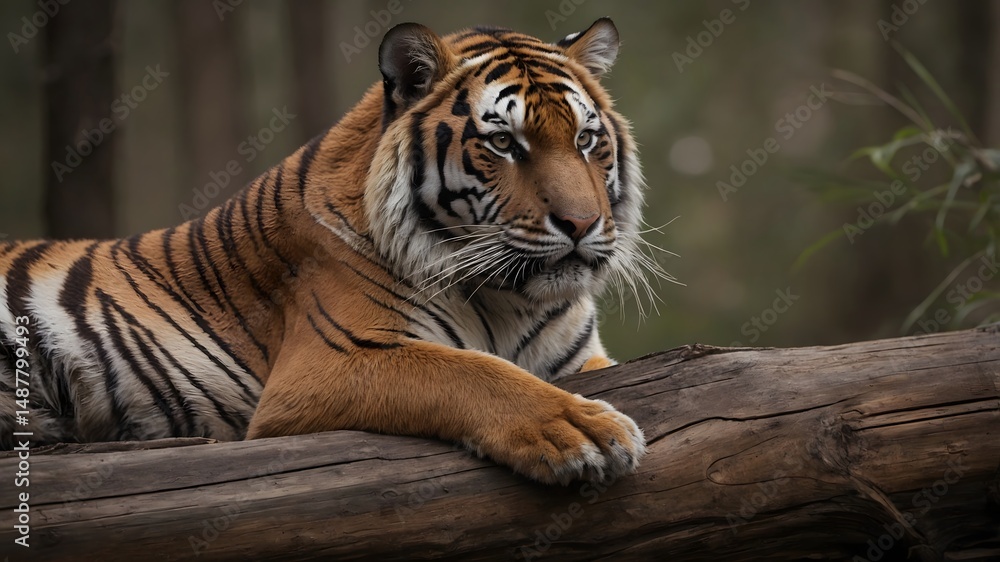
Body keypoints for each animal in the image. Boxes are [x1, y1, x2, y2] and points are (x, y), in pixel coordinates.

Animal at [0, 18, 658, 485]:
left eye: (586, 139)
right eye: (503, 144)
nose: (581, 223)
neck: (511, 301)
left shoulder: (583, 360)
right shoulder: (330, 364)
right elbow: (472, 372)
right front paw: (584, 432)